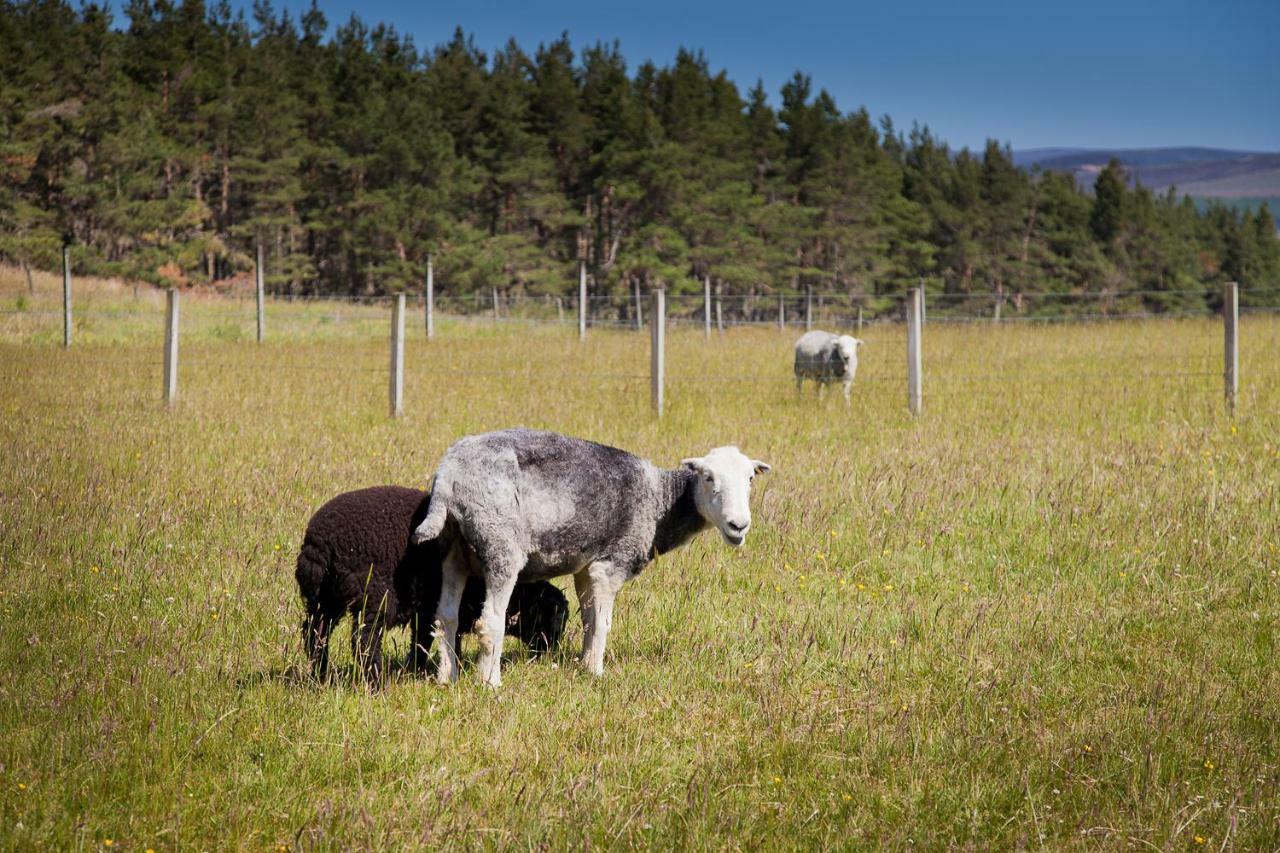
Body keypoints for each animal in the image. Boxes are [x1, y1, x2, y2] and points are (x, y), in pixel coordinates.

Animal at [296, 484, 568, 686]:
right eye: (551, 618)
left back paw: (319, 674)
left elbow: (425, 641)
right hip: (375, 597)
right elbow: (440, 641)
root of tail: (318, 545)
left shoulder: (426, 611)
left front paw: (417, 671)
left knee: (315, 634)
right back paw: (374, 681)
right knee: (364, 640)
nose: (548, 653)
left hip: (324, 600)